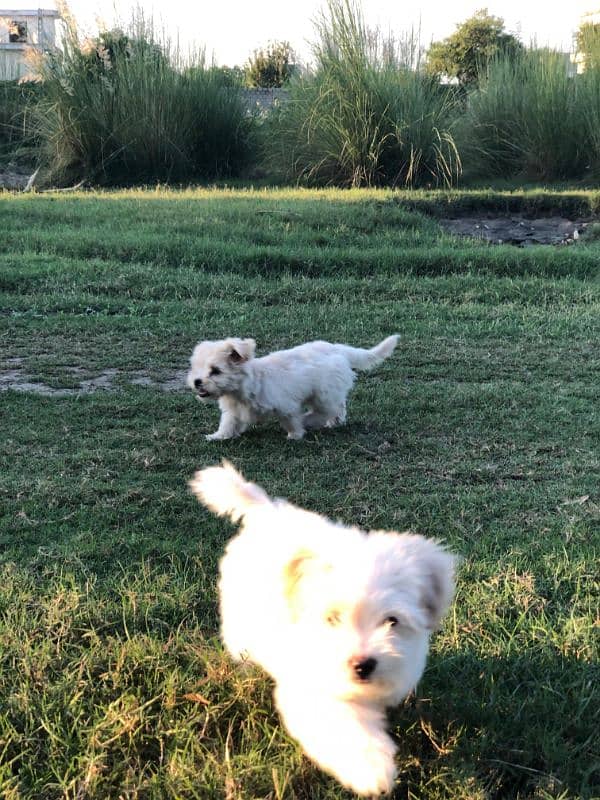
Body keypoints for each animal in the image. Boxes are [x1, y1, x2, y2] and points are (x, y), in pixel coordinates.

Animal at [188, 334, 398, 440]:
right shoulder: (234, 410)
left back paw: (311, 420)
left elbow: (291, 420)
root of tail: (337, 348)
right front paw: (218, 436)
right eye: (196, 368)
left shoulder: (286, 406)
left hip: (323, 393)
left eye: (215, 371)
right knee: (338, 407)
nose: (197, 382)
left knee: (325, 410)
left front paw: (295, 434)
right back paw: (334, 422)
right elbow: (228, 423)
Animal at [190, 462, 458, 792]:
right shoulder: (312, 684)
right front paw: (371, 769)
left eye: (391, 621)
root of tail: (266, 510)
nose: (362, 665)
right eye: (332, 619)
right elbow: (342, 723)